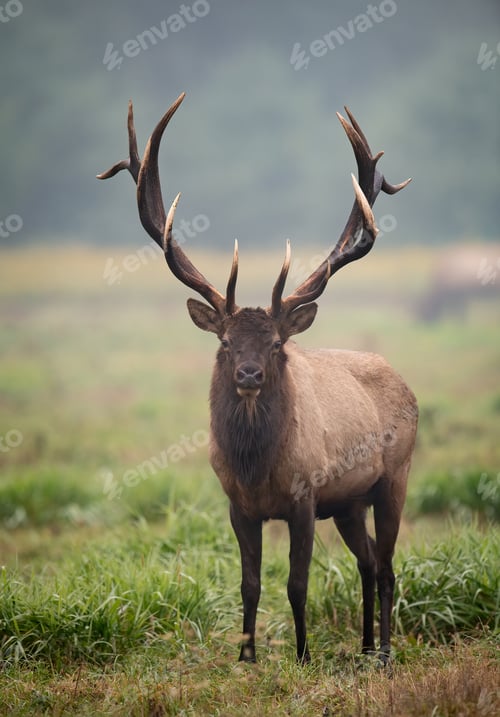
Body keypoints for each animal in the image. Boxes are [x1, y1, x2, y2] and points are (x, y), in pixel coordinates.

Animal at [97, 92, 418, 666]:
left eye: (275, 343)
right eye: (225, 342)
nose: (248, 373)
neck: (257, 470)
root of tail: (405, 383)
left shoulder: (305, 496)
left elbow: (297, 584)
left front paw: (303, 656)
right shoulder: (236, 505)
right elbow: (248, 583)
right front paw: (245, 657)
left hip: (394, 478)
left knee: (386, 569)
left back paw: (383, 653)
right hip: (350, 502)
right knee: (365, 564)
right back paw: (362, 647)